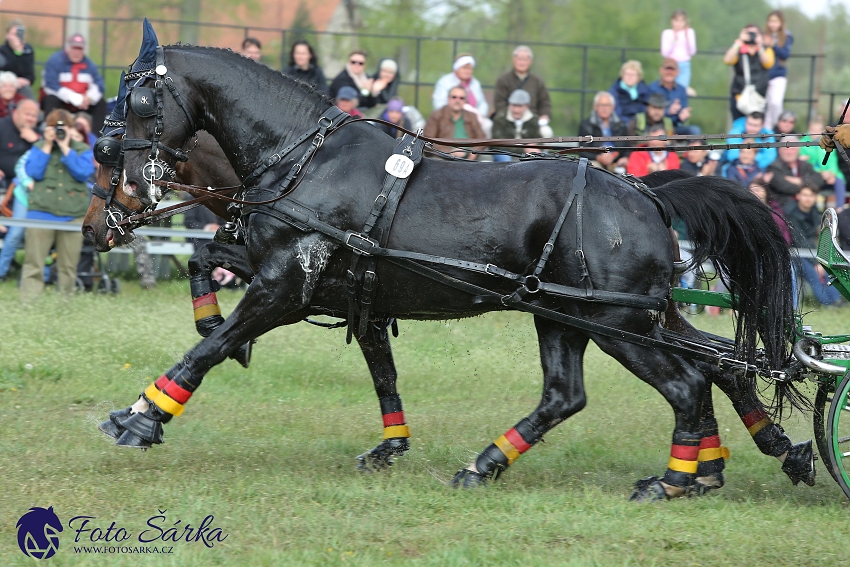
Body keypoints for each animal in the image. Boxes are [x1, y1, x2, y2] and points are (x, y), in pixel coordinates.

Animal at [104, 42, 800, 500]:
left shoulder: (286, 285)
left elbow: (213, 349)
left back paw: (676, 479)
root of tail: (645, 193)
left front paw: (141, 416)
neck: (304, 159)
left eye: (138, 99)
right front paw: (389, 444)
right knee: (596, 388)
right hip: (574, 316)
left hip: (614, 320)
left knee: (686, 382)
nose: (124, 193)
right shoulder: (332, 288)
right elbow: (210, 271)